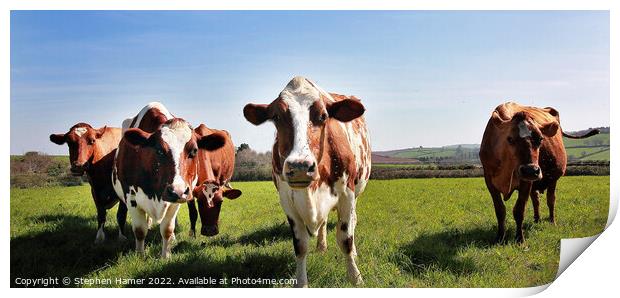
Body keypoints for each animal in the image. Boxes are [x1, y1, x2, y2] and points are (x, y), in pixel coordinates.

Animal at [112, 103, 228, 258]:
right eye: (159, 150)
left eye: (194, 151)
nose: (177, 191)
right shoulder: (131, 197)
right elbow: (140, 230)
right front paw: (140, 256)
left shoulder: (177, 199)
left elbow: (167, 229)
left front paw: (166, 256)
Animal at [242, 76, 370, 286]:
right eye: (276, 117)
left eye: (324, 116)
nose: (300, 166)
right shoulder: (287, 201)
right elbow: (300, 246)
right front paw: (301, 283)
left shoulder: (347, 194)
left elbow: (345, 239)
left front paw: (355, 278)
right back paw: (321, 246)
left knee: (353, 221)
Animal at [478, 101, 600, 243]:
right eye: (510, 139)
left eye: (541, 139)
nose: (531, 170)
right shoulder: (489, 181)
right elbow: (500, 210)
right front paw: (500, 237)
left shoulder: (525, 182)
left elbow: (519, 210)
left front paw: (520, 239)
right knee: (536, 200)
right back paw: (537, 220)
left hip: (552, 179)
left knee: (551, 199)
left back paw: (552, 221)